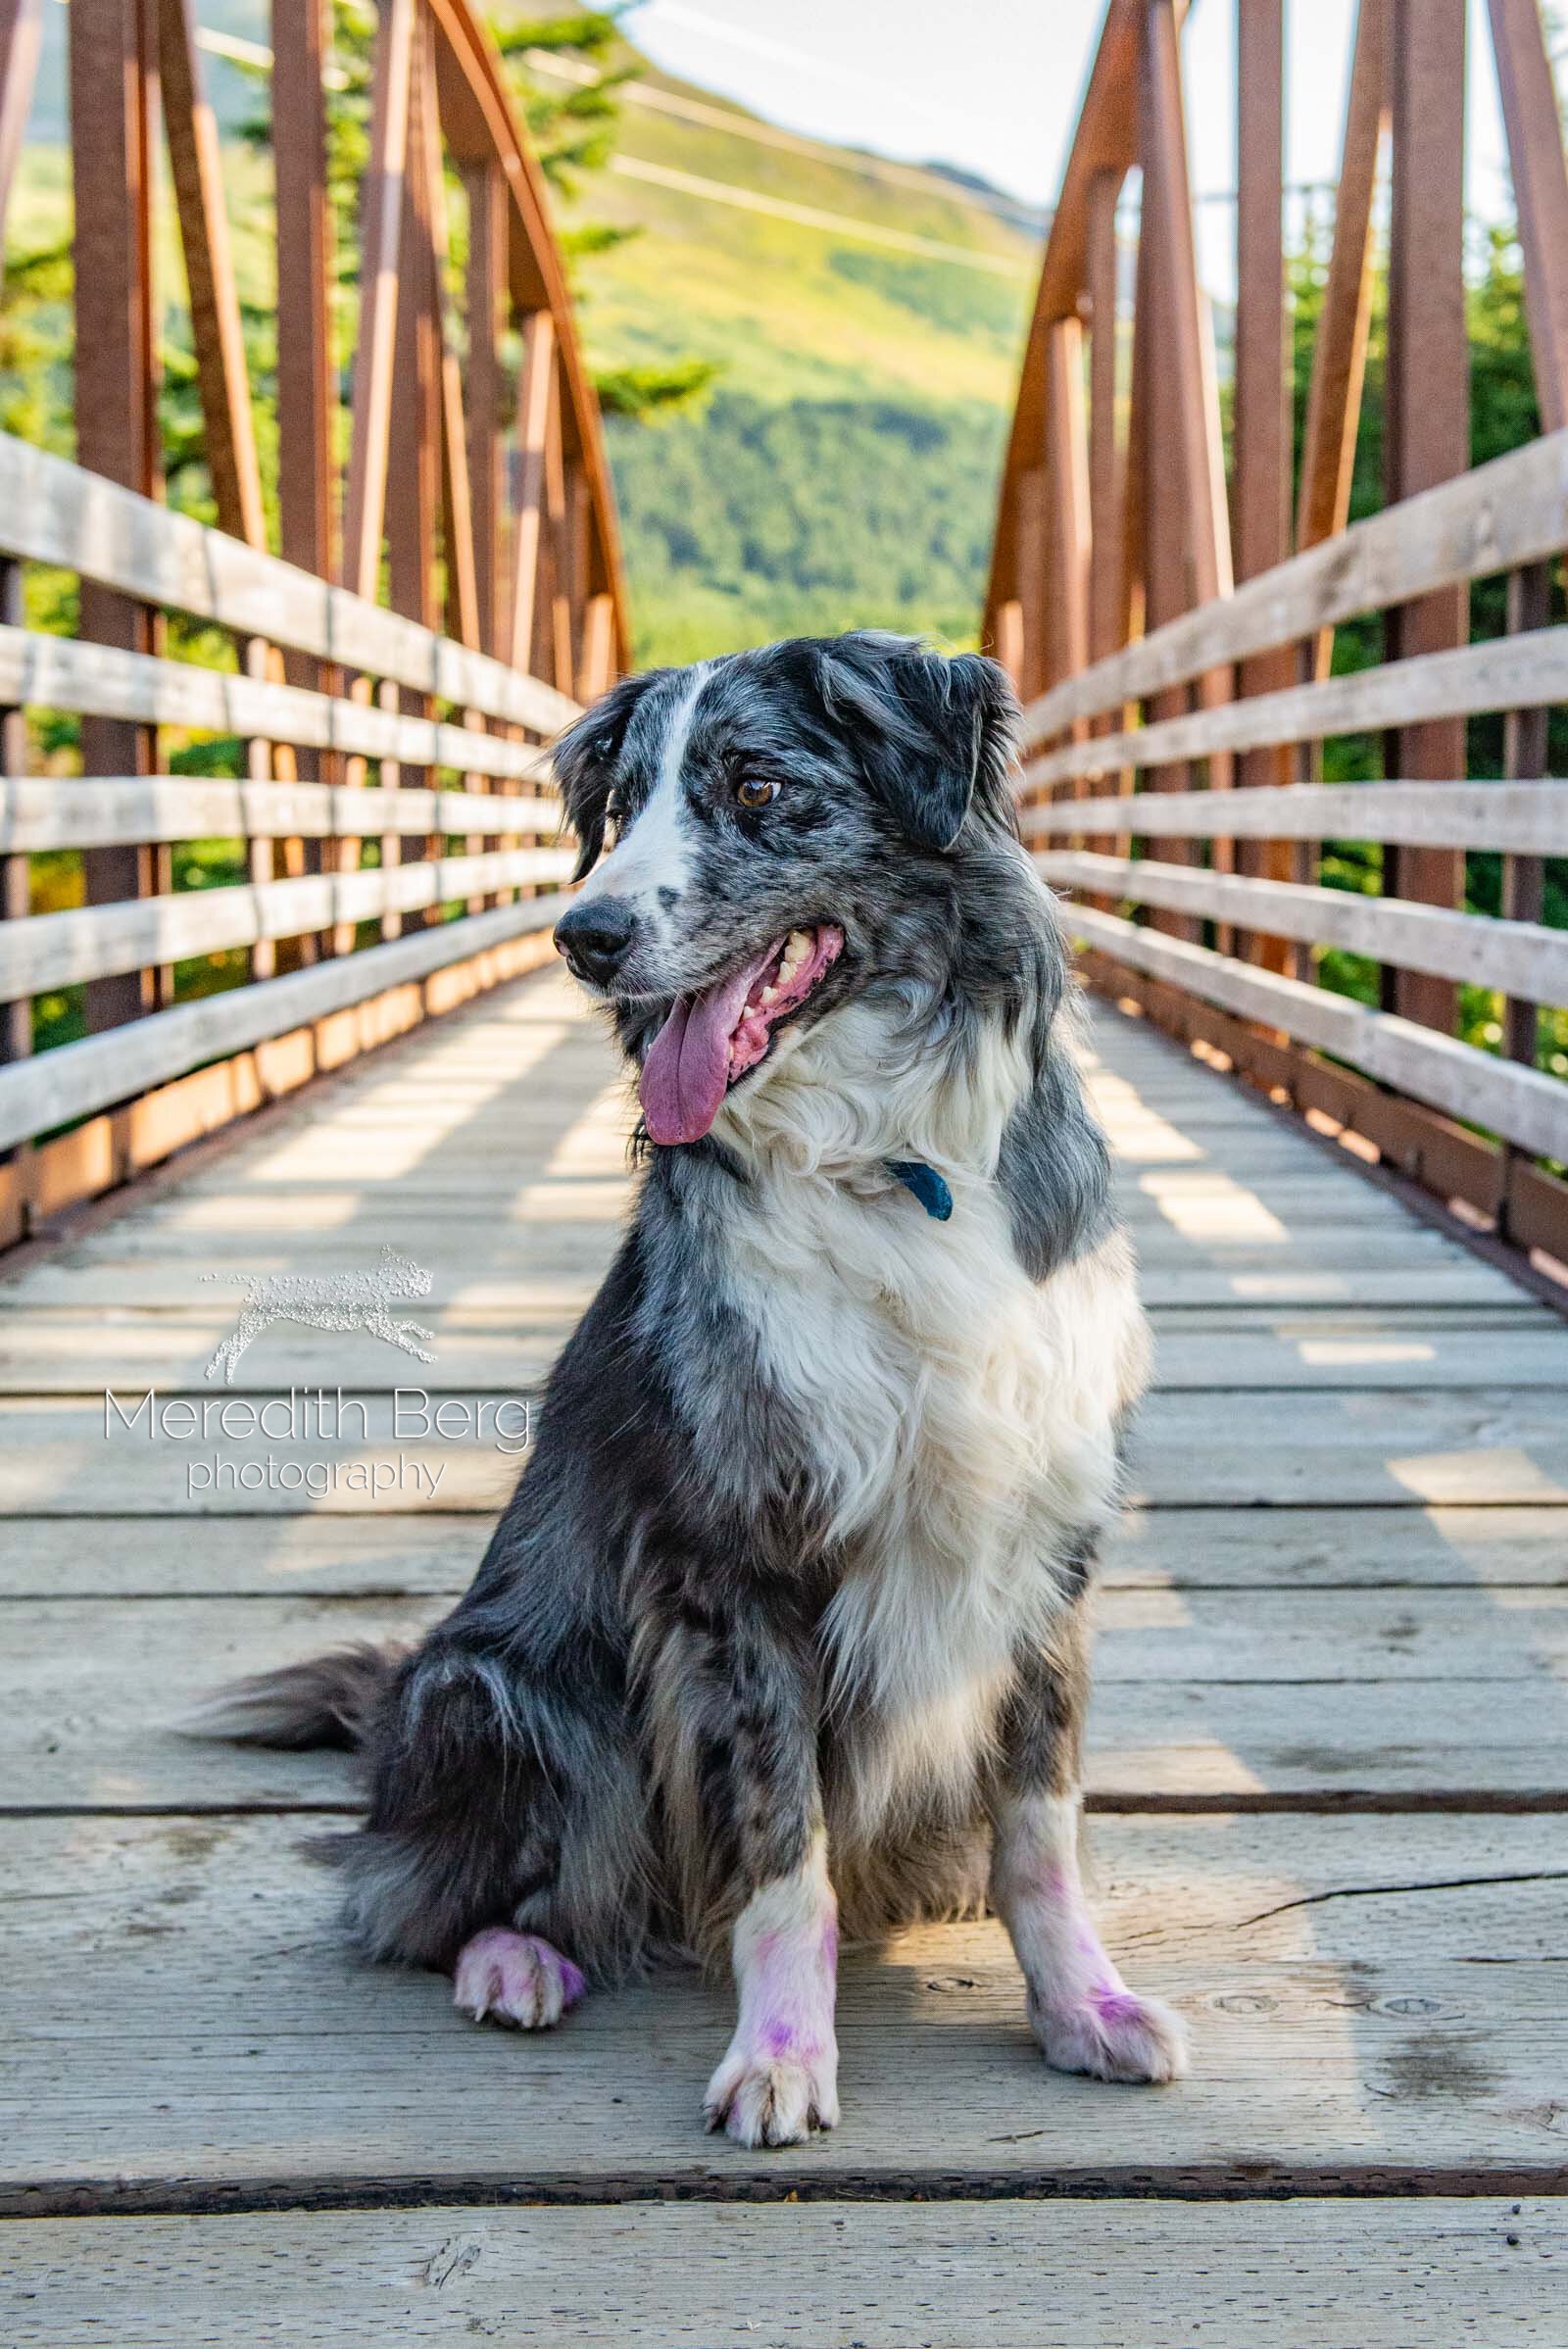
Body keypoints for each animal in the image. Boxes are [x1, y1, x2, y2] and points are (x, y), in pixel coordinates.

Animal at [205, 629, 1187, 2151]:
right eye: (621, 803)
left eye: (757, 784)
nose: (584, 938)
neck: (890, 1160)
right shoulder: (732, 1562)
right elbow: (785, 1849)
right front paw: (782, 2053)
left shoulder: (1045, 1543)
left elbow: (1042, 1827)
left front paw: (1080, 2003)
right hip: (497, 1689)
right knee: (434, 1900)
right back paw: (513, 1960)